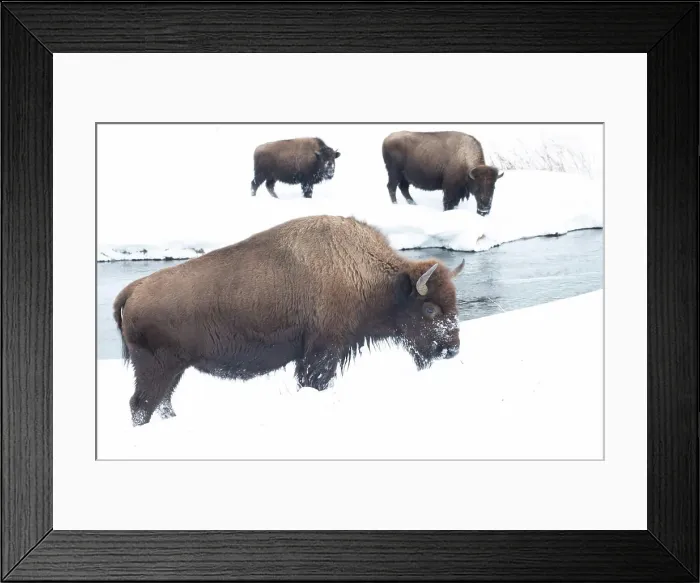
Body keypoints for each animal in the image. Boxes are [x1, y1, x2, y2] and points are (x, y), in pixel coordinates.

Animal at [113, 215, 465, 426]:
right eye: (430, 309)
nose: (452, 349)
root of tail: (133, 289)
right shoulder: (321, 352)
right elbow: (314, 381)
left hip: (174, 370)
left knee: (162, 402)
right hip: (156, 369)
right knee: (140, 404)